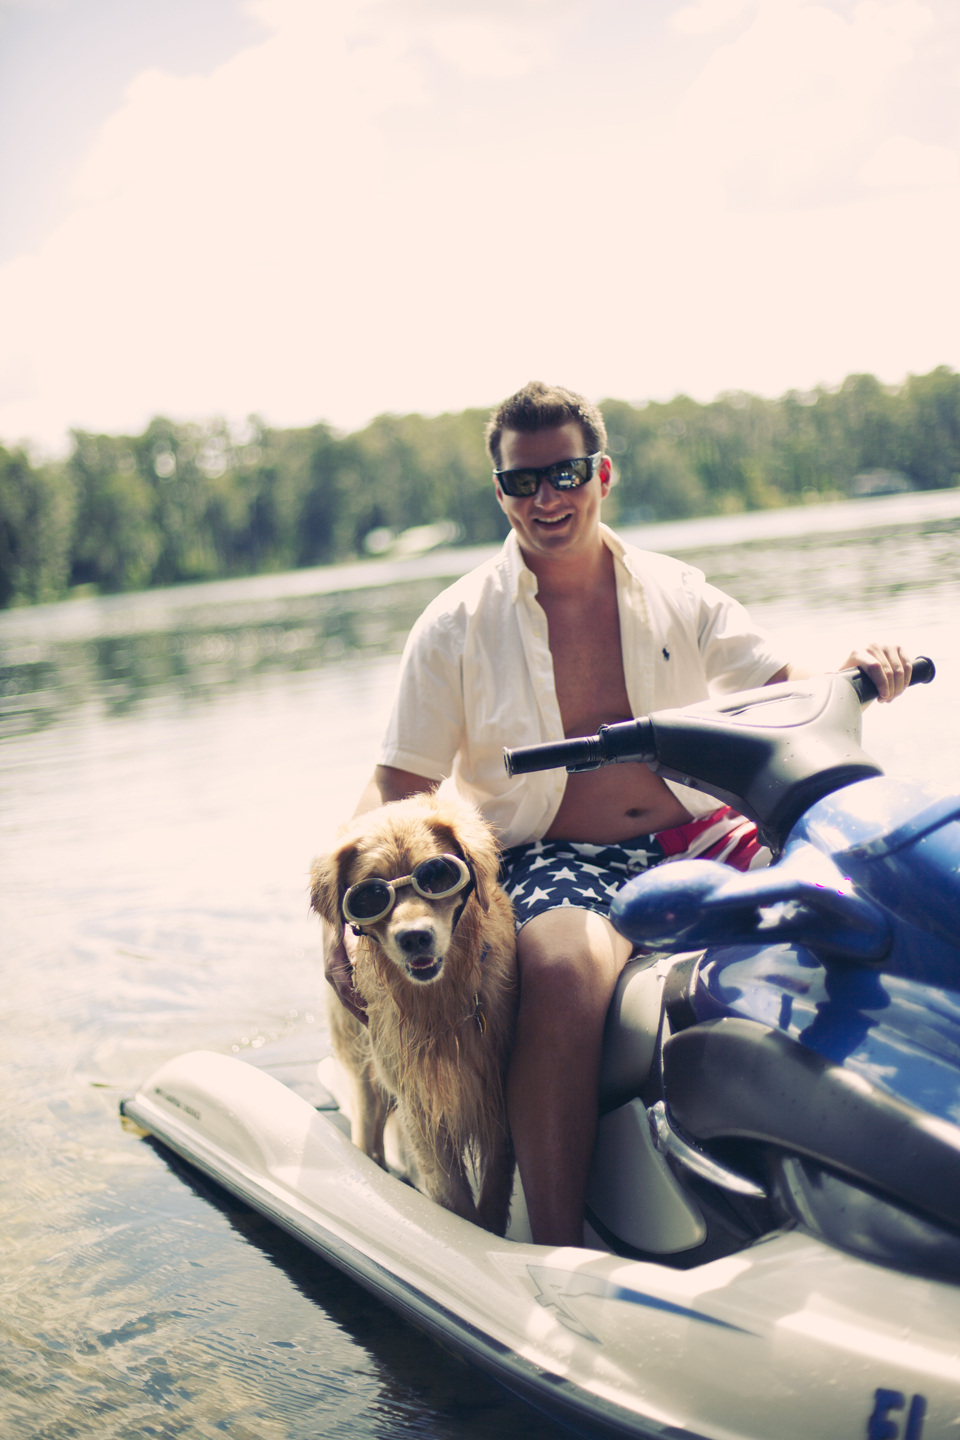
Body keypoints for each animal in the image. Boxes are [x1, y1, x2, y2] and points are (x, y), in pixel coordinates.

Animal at [310, 792, 517, 1235]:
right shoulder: (419, 1103)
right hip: (367, 1075)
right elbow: (452, 1198)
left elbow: (494, 1189)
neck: (439, 1004)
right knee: (367, 1139)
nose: (414, 937)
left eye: (436, 875)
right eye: (369, 896)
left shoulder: (496, 1091)